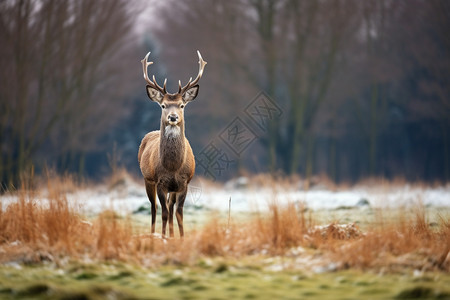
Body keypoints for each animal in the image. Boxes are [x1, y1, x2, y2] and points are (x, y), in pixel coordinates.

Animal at [138, 51, 207, 239]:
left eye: (182, 105)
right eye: (163, 105)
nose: (173, 117)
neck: (173, 167)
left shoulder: (184, 183)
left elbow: (179, 213)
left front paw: (181, 238)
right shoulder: (160, 181)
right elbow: (163, 213)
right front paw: (163, 237)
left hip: (172, 189)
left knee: (170, 207)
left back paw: (171, 234)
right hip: (147, 179)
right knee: (154, 208)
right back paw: (154, 234)